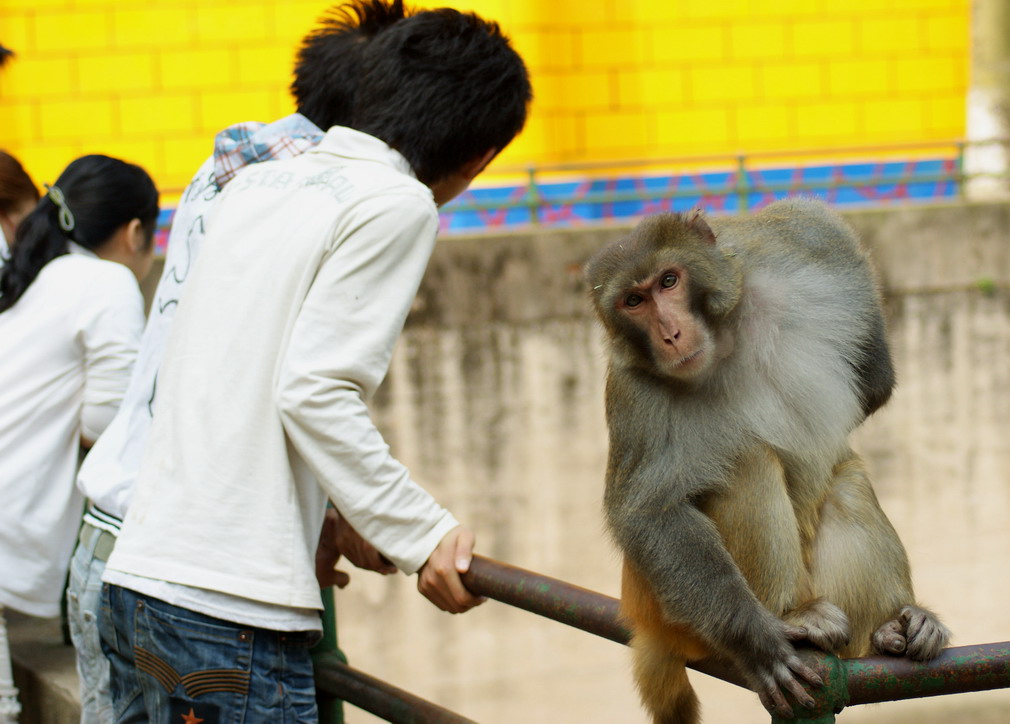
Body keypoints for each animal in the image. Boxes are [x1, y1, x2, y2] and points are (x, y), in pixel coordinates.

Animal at [589, 198, 949, 722]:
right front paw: (757, 640)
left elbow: (873, 376)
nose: (670, 333)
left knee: (844, 485)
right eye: (633, 302)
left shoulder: (789, 246)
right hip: (678, 617)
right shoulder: (633, 389)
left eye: (669, 281)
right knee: (745, 464)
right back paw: (790, 617)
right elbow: (648, 512)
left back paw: (893, 627)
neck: (727, 339)